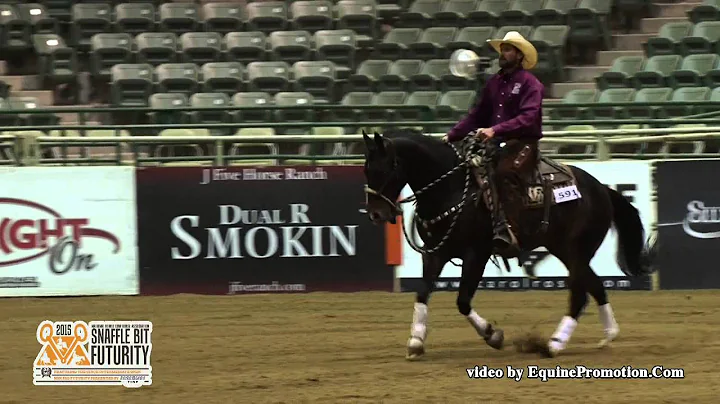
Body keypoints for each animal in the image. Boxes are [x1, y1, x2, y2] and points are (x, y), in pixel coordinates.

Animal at [362, 128, 656, 358]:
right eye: (366, 170)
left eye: (385, 169)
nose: (375, 214)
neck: (453, 190)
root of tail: (602, 189)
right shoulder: (434, 254)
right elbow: (422, 293)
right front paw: (415, 341)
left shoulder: (476, 253)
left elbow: (463, 300)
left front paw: (493, 335)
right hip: (565, 249)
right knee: (596, 287)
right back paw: (609, 335)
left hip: (576, 250)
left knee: (580, 294)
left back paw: (554, 344)